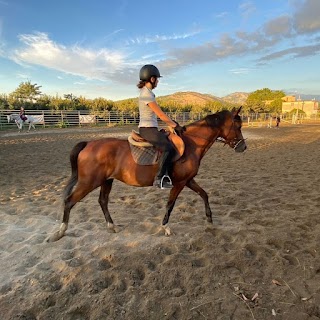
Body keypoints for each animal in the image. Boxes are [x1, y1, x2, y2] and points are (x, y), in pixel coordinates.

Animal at [47, 106, 246, 241]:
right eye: (238, 126)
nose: (243, 147)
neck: (191, 144)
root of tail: (88, 144)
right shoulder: (180, 183)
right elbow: (170, 204)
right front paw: (166, 227)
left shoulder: (188, 180)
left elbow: (204, 194)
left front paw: (209, 220)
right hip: (88, 182)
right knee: (69, 201)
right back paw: (60, 232)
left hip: (106, 181)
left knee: (102, 201)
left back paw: (111, 226)